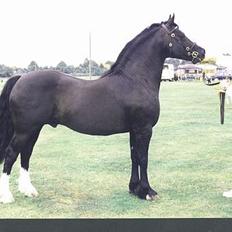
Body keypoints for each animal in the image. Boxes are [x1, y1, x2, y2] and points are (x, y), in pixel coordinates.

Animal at [0, 14, 204, 203]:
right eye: (179, 35)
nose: (201, 51)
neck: (136, 80)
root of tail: (20, 78)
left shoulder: (134, 130)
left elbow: (134, 156)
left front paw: (134, 189)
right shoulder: (144, 129)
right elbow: (143, 158)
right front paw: (147, 192)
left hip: (33, 130)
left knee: (26, 154)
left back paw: (28, 191)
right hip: (25, 130)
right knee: (11, 154)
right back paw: (7, 196)